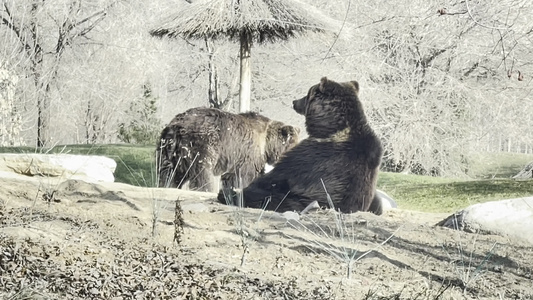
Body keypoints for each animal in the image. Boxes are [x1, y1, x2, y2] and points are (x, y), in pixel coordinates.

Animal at [157, 107, 300, 192]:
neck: (267, 145)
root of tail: (177, 126)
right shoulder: (248, 155)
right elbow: (244, 176)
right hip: (204, 144)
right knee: (203, 173)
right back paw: (206, 188)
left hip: (168, 150)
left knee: (168, 173)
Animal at [218, 77, 384, 213]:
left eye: (308, 93)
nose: (294, 102)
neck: (332, 127)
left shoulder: (311, 156)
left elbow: (276, 177)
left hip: (299, 198)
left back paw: (227, 194)